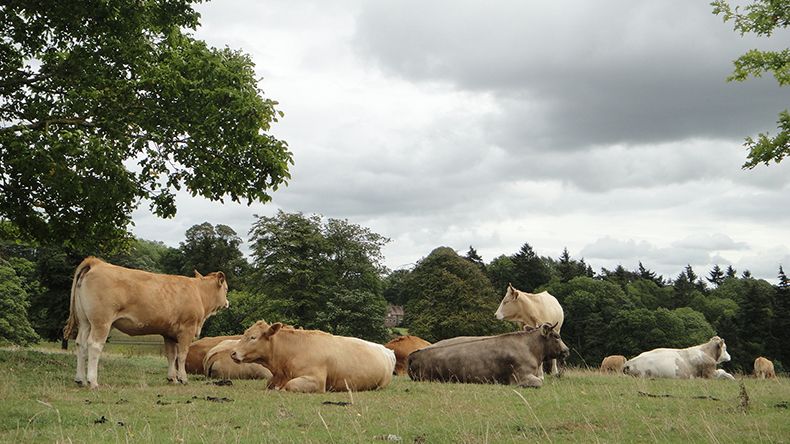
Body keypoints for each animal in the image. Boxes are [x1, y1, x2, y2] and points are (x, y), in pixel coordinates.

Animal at [62, 257, 229, 388]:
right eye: (226, 289)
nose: (228, 302)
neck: (198, 293)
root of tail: (97, 263)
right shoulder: (187, 329)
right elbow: (182, 355)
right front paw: (183, 378)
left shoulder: (169, 334)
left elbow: (171, 356)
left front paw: (172, 378)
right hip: (101, 322)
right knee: (94, 346)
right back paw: (93, 381)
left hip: (85, 322)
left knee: (80, 344)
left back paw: (80, 379)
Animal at [230, 321, 396, 393]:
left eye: (253, 337)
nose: (233, 353)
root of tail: (386, 350)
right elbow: (269, 383)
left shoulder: (316, 381)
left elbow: (290, 385)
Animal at [407, 323, 570, 388]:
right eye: (556, 336)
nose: (566, 350)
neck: (531, 348)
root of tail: (414, 354)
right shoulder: (521, 376)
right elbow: (539, 382)